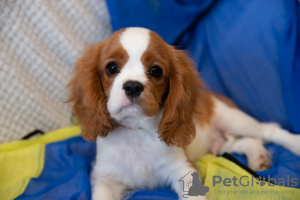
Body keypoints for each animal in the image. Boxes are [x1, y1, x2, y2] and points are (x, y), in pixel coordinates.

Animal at [67, 27, 300, 199]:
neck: (137, 129)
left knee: (269, 130)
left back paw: (293, 144)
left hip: (232, 119)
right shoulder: (105, 178)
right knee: (245, 141)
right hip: (218, 145)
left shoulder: (182, 168)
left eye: (156, 71)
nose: (132, 86)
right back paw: (258, 156)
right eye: (112, 68)